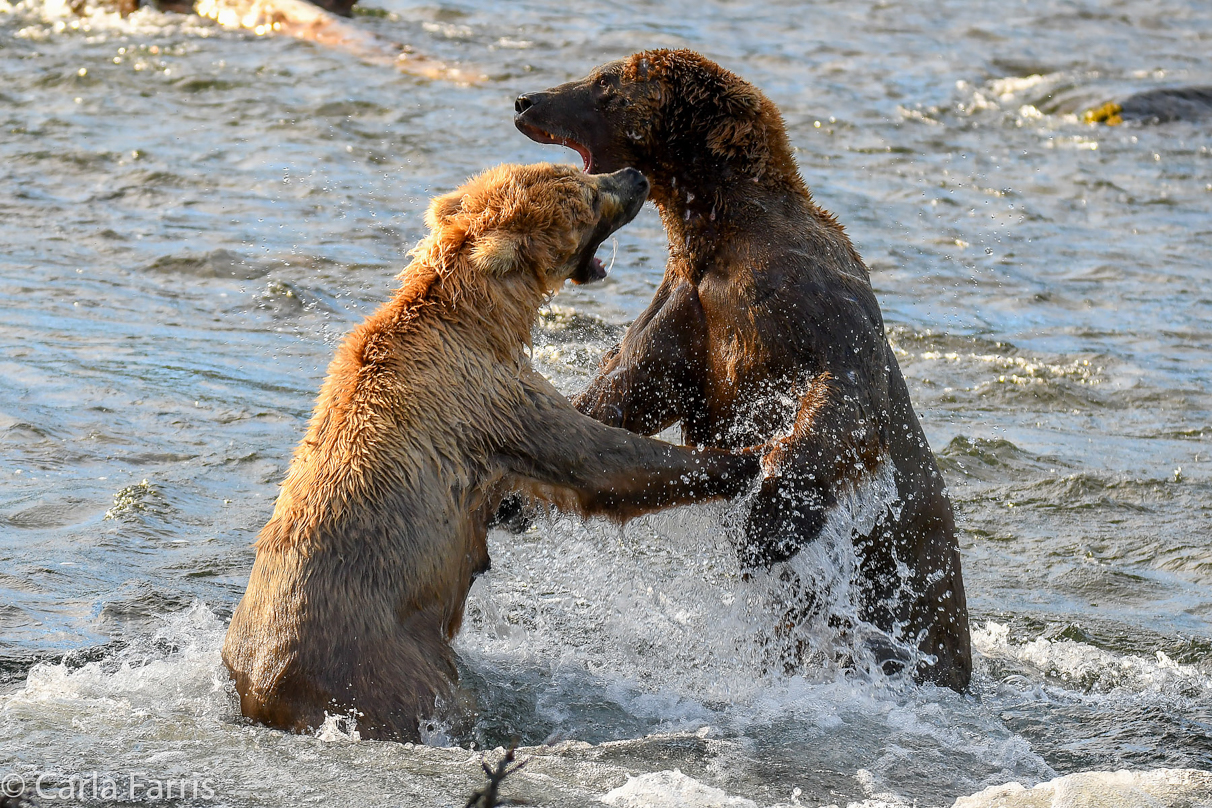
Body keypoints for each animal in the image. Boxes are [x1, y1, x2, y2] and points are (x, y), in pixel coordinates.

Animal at [220, 161, 756, 741]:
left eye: (581, 174)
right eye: (588, 197)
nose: (634, 175)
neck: (483, 316)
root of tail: (266, 696)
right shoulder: (490, 397)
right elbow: (594, 458)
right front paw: (753, 456)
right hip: (384, 663)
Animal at [511, 49, 974, 688]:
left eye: (604, 80)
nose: (525, 100)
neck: (719, 231)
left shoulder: (810, 302)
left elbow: (844, 396)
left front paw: (769, 521)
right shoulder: (688, 311)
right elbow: (625, 388)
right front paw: (515, 488)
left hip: (912, 597)